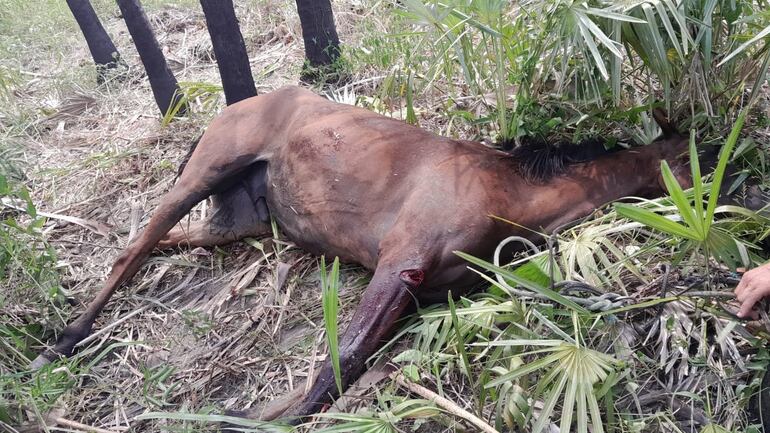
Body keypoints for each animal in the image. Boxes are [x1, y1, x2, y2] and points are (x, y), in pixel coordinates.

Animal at [31, 85, 691, 423]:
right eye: (693, 154)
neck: (509, 186)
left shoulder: (422, 295)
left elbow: (341, 372)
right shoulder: (400, 265)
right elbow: (332, 369)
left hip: (236, 225)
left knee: (157, 245)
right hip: (202, 175)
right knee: (132, 250)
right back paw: (62, 343)